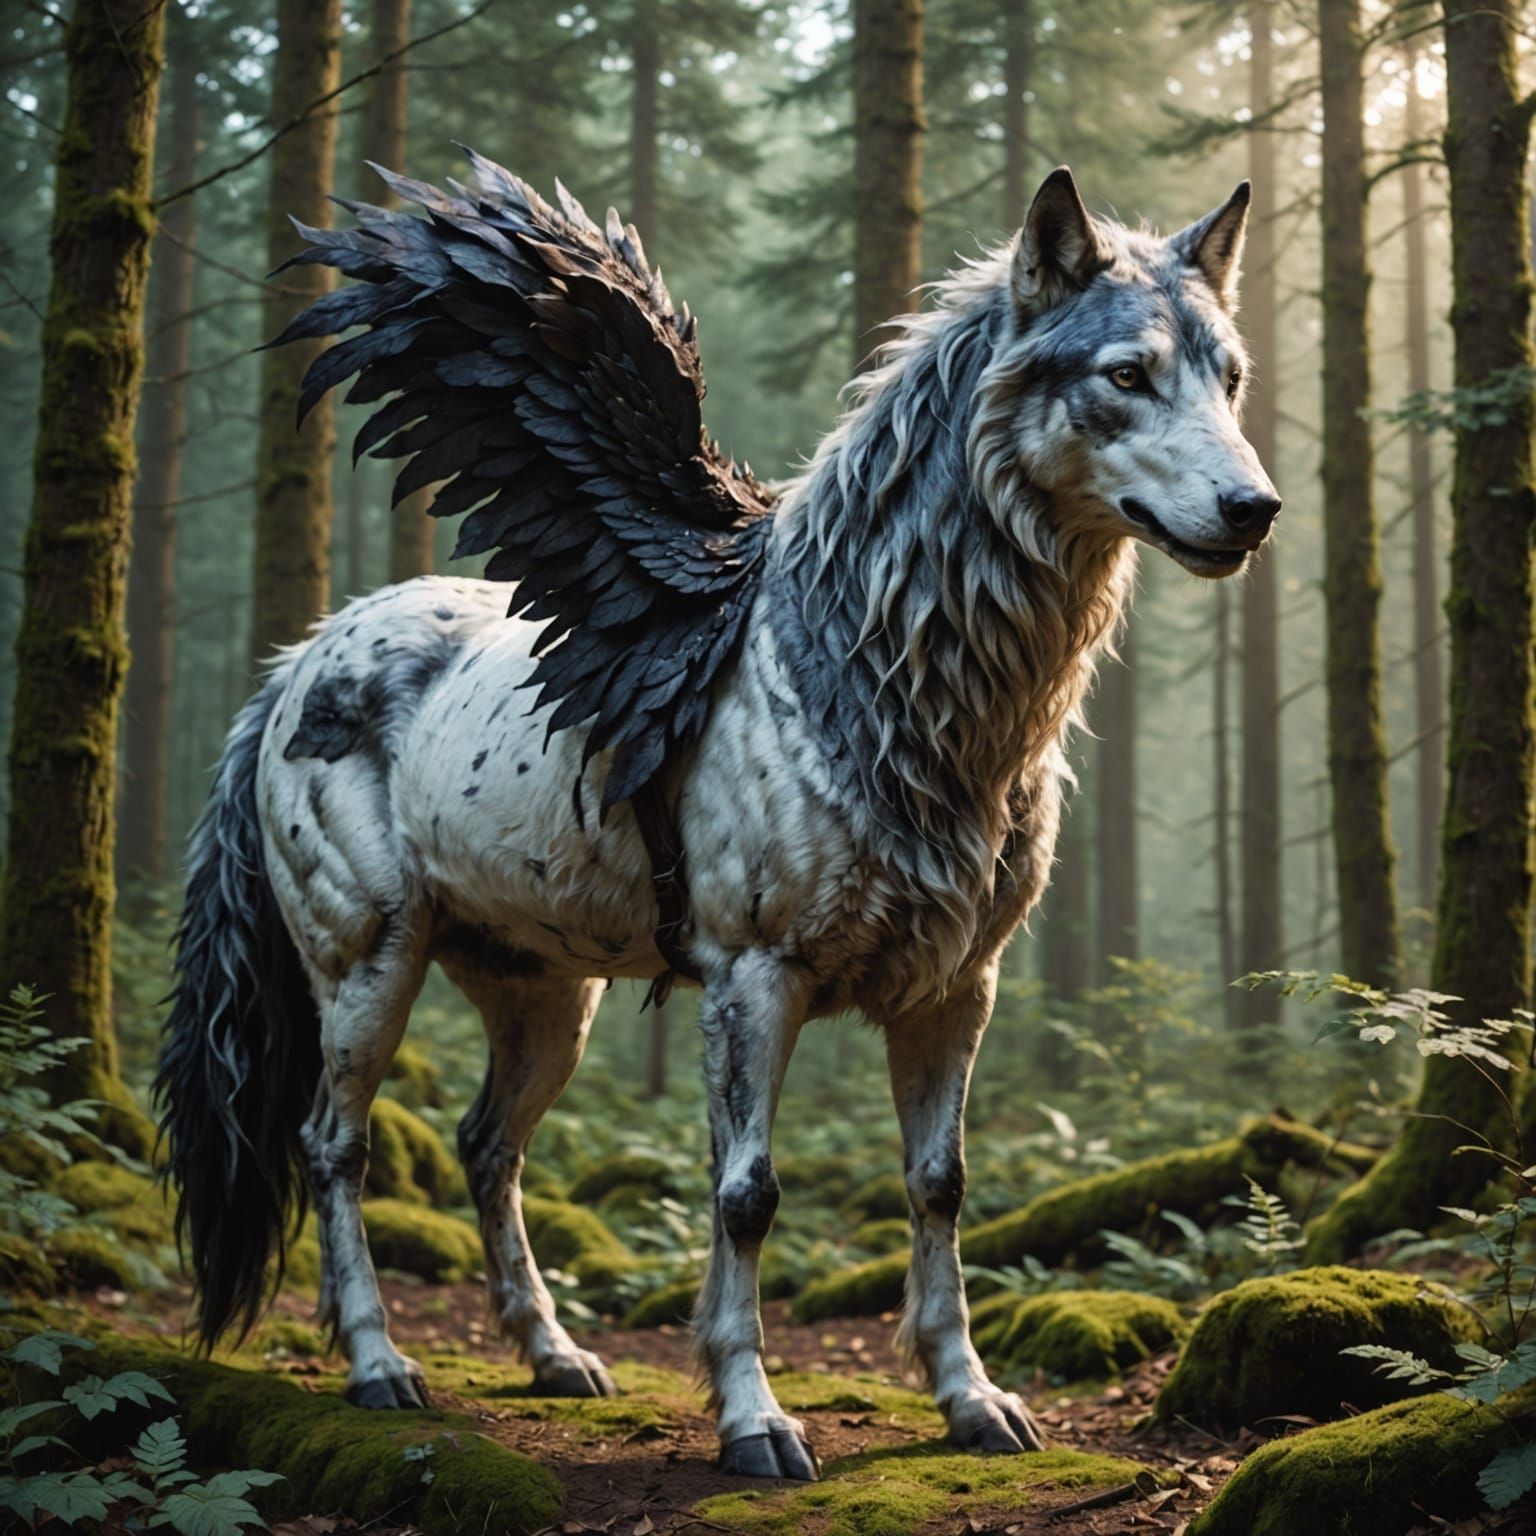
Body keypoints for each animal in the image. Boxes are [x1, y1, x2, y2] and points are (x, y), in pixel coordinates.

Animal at [157, 154, 1277, 1482]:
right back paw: (378, 1364)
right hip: (368, 968)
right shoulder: (754, 977)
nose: (1253, 509)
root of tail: (292, 666)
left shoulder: (960, 989)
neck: (879, 678)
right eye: (1125, 375)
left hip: (544, 998)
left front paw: (970, 1399)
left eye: (1230, 375)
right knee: (335, 1145)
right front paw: (753, 1419)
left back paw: (553, 1355)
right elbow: (747, 1193)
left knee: (489, 1145)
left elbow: (941, 1183)